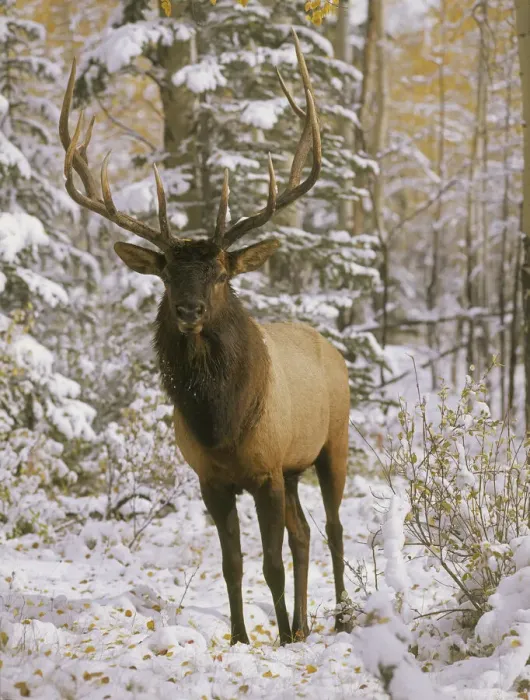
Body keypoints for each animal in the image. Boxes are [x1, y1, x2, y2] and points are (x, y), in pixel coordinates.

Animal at [59, 30, 351, 646]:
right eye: (167, 273)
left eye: (219, 272)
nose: (189, 310)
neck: (221, 423)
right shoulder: (211, 481)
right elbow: (232, 563)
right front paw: (243, 638)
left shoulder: (265, 470)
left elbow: (269, 561)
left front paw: (277, 637)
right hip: (294, 468)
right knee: (305, 532)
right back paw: (306, 624)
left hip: (331, 441)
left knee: (333, 527)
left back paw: (340, 616)